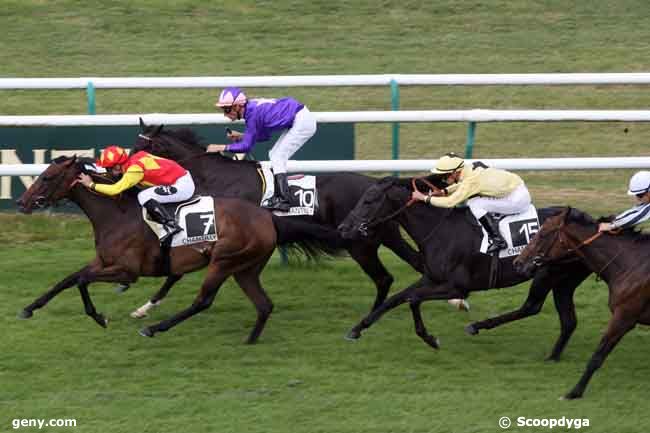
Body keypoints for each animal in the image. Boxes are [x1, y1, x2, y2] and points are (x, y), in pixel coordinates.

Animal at [15, 155, 342, 340]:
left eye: (47, 177)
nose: (22, 202)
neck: (117, 215)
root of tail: (267, 217)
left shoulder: (127, 271)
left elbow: (82, 280)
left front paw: (99, 317)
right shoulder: (104, 262)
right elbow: (68, 279)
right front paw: (29, 308)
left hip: (223, 261)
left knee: (203, 301)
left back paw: (154, 328)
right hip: (245, 269)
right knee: (264, 305)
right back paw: (250, 340)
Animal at [131, 121, 426, 314]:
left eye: (146, 146)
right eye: (134, 145)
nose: (126, 168)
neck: (219, 177)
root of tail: (376, 184)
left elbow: (177, 273)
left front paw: (146, 306)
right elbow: (176, 273)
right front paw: (145, 306)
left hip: (360, 244)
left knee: (384, 278)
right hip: (385, 236)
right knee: (411, 266)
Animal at [336, 176, 588, 354]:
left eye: (369, 200)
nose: (343, 228)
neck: (440, 230)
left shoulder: (457, 287)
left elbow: (413, 299)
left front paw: (430, 339)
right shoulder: (431, 278)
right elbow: (396, 298)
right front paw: (357, 329)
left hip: (548, 273)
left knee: (532, 306)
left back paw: (477, 326)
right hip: (564, 279)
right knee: (564, 319)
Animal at [512, 207, 648, 398]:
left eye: (543, 233)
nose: (518, 263)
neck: (630, 264)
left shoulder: (624, 317)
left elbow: (597, 357)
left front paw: (574, 392)